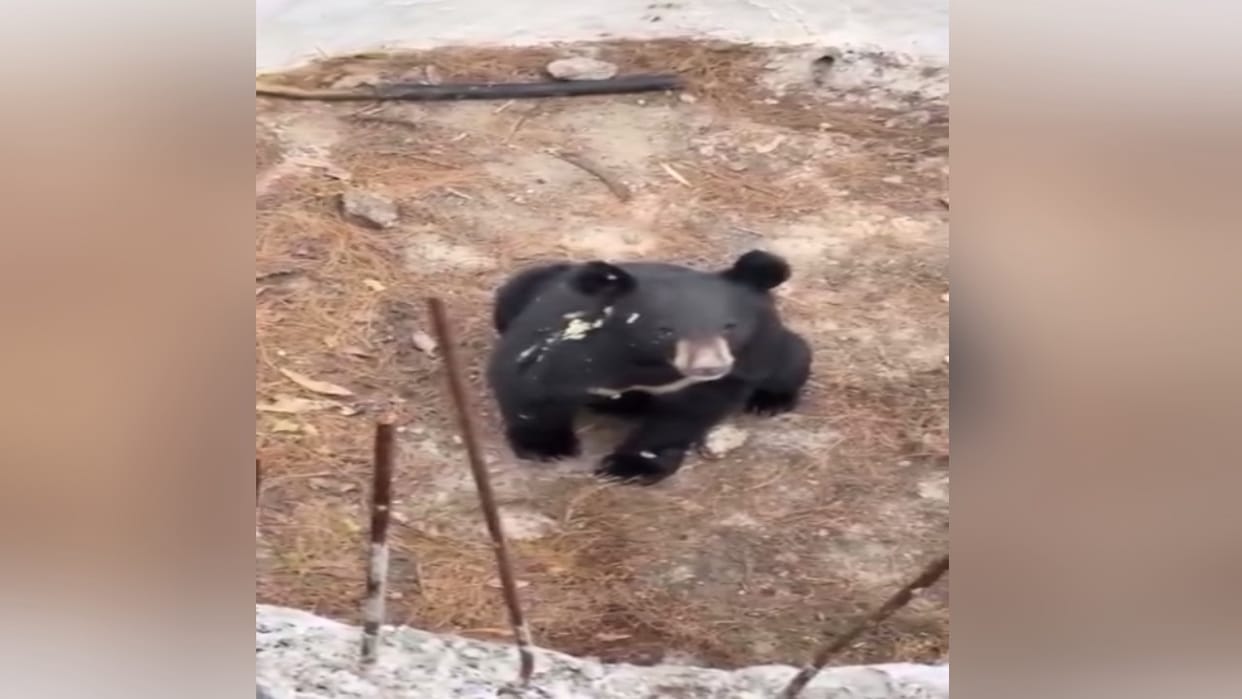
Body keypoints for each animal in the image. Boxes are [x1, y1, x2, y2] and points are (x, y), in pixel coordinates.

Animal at [485, 250, 811, 485]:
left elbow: (685, 415)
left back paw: (769, 402)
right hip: (517, 292)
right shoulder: (573, 349)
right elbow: (527, 384)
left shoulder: (733, 367)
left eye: (729, 326)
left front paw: (629, 467)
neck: (650, 362)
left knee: (792, 360)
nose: (709, 367)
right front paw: (547, 448)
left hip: (769, 345)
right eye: (664, 330)